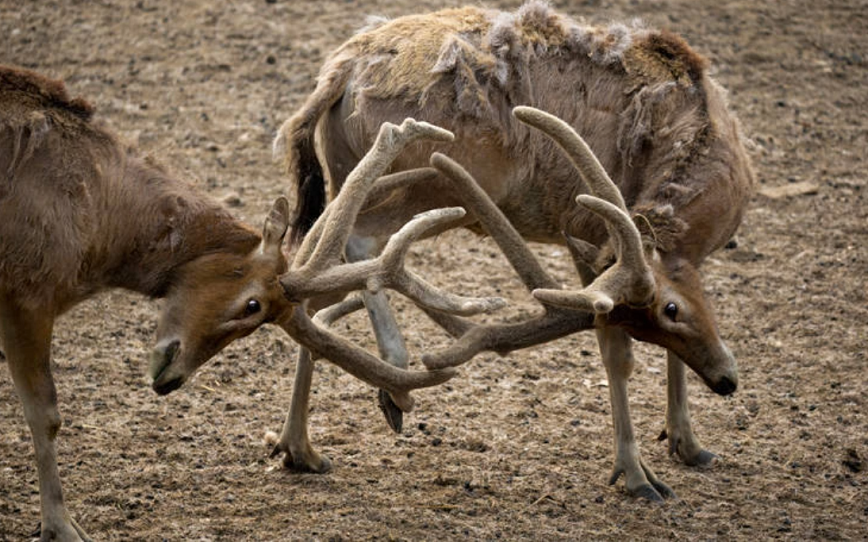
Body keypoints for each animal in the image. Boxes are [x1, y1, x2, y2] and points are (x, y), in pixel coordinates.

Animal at [1, 66, 474, 540]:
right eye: (252, 306)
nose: (169, 379)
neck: (99, 220)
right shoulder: (26, 292)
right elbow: (46, 414)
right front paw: (60, 526)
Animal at [272, 0, 752, 504]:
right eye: (671, 310)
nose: (726, 379)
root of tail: (340, 70)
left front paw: (687, 443)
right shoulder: (593, 232)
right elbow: (615, 352)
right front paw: (637, 474)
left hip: (350, 173)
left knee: (311, 268)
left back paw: (300, 447)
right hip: (433, 178)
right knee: (356, 243)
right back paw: (395, 380)